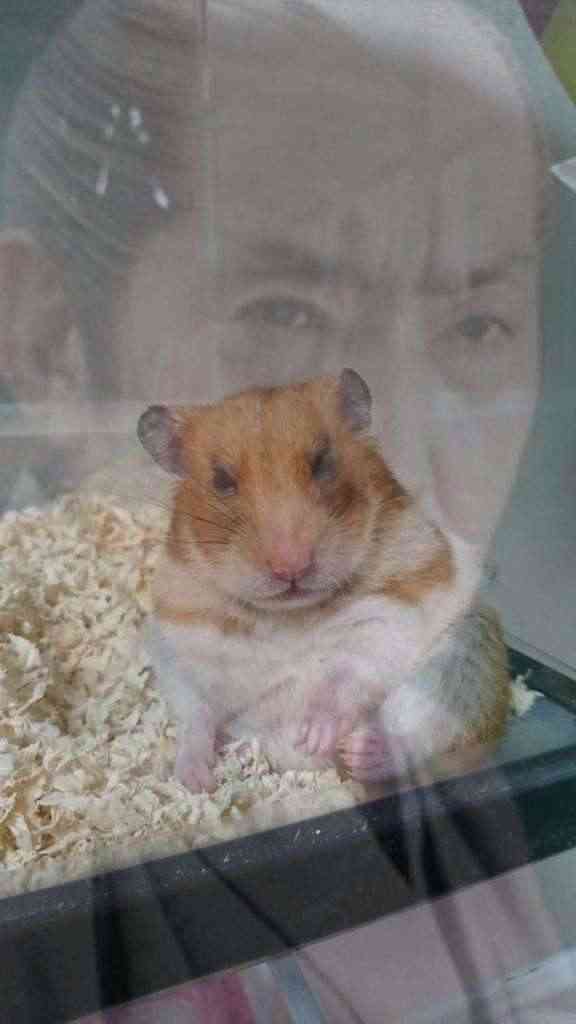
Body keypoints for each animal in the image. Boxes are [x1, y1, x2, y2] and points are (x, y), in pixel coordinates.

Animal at [138, 369, 510, 791]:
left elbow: (345, 674)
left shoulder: (389, 613)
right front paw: (196, 782)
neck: (290, 614)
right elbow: (196, 714)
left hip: (464, 662)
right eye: (221, 480)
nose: (291, 568)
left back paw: (355, 751)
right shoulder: (181, 648)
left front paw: (315, 734)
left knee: (419, 738)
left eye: (322, 462)